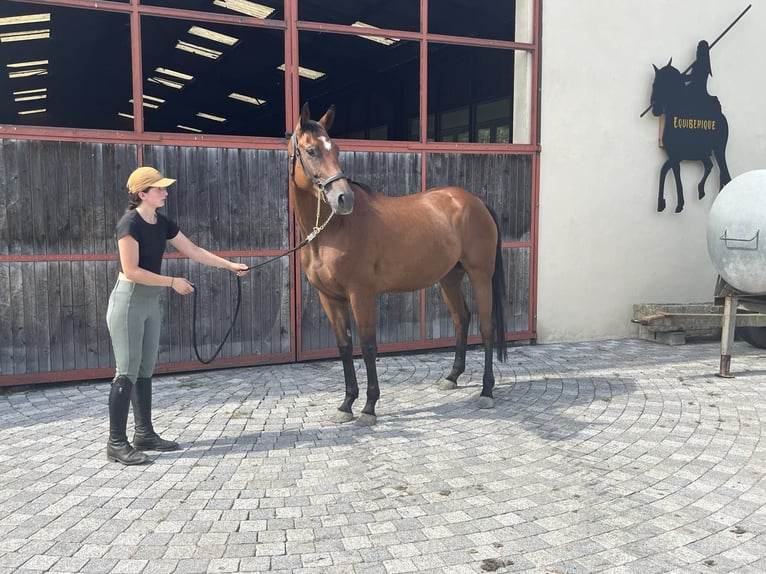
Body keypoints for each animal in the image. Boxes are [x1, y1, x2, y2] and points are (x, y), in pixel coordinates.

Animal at [292, 104, 508, 428]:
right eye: (311, 150)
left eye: (337, 149)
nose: (344, 198)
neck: (333, 231)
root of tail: (476, 203)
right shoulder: (329, 297)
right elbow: (344, 347)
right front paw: (346, 404)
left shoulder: (361, 294)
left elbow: (368, 346)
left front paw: (369, 407)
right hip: (449, 278)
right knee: (462, 319)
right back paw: (452, 377)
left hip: (480, 275)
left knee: (486, 327)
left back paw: (486, 391)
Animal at [656, 58, 732, 214]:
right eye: (654, 83)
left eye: (661, 84)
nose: (655, 108)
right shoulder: (674, 157)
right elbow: (667, 171)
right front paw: (666, 204)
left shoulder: (676, 157)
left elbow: (668, 171)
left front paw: (673, 204)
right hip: (705, 154)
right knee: (710, 166)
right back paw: (701, 191)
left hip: (719, 149)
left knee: (724, 173)